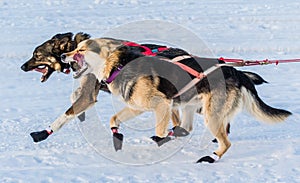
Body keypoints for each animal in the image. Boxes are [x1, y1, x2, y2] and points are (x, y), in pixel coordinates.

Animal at [62, 38, 290, 163]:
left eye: (81, 50)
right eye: (74, 48)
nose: (64, 55)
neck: (119, 65)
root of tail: (237, 72)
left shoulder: (161, 104)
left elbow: (159, 130)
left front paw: (159, 140)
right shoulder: (138, 106)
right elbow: (113, 119)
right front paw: (117, 136)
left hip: (210, 115)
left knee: (225, 142)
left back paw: (211, 157)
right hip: (192, 106)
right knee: (188, 128)